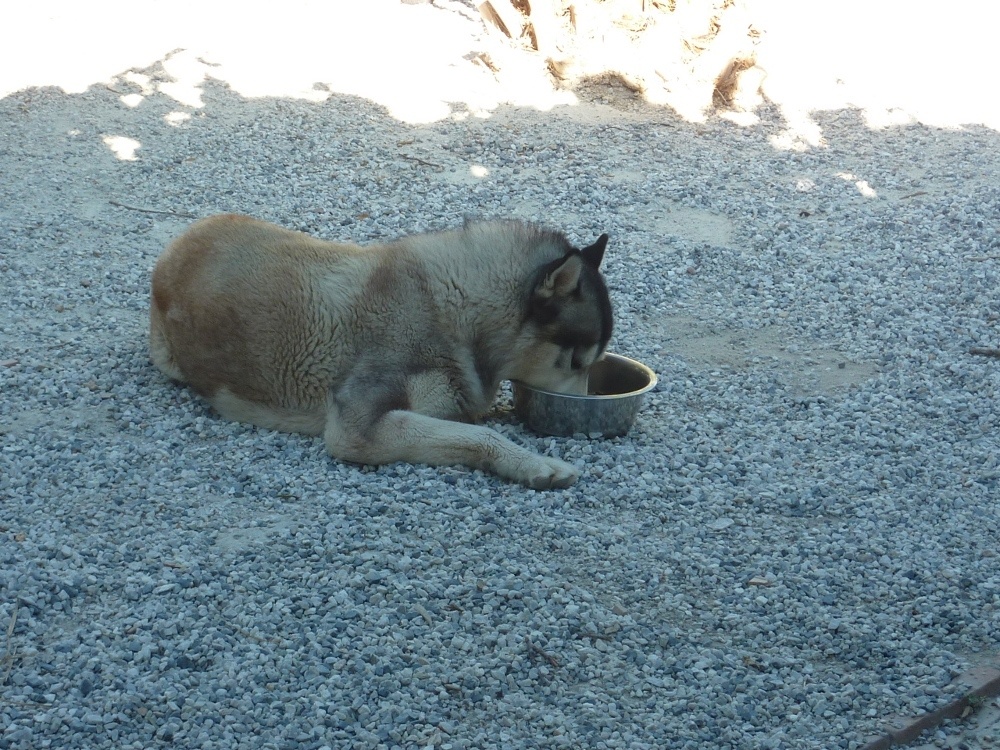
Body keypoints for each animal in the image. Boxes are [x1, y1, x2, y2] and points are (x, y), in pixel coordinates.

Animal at [149, 214, 612, 490]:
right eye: (576, 361)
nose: (584, 412)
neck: (452, 312)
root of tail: (180, 243)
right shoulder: (356, 429)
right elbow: (481, 434)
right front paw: (532, 462)